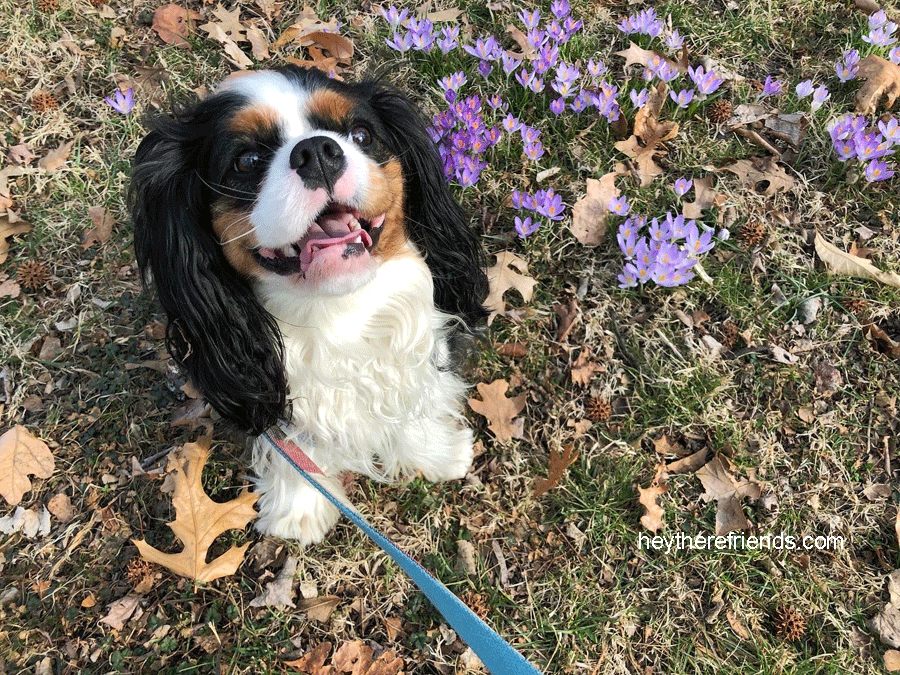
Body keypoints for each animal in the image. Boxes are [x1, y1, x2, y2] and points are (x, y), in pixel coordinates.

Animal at [130, 65, 487, 544]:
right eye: (247, 161)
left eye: (360, 134)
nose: (317, 151)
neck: (336, 312)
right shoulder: (265, 384)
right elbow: (291, 443)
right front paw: (299, 508)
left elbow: (409, 393)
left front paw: (435, 452)